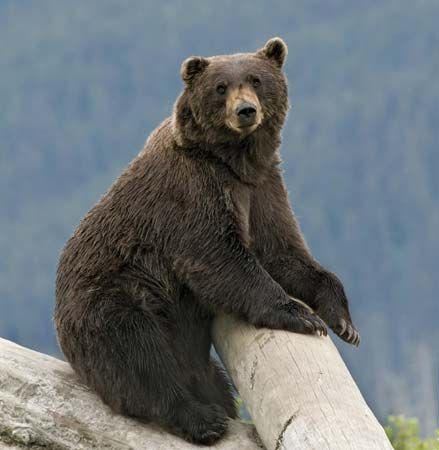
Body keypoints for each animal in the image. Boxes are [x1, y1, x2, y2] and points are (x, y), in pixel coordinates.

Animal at [55, 38, 360, 446]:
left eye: (256, 79)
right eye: (221, 87)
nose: (246, 111)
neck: (234, 161)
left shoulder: (263, 188)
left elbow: (283, 251)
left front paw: (343, 321)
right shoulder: (194, 193)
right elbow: (219, 257)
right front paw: (302, 316)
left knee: (207, 374)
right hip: (112, 300)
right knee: (141, 356)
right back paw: (202, 419)